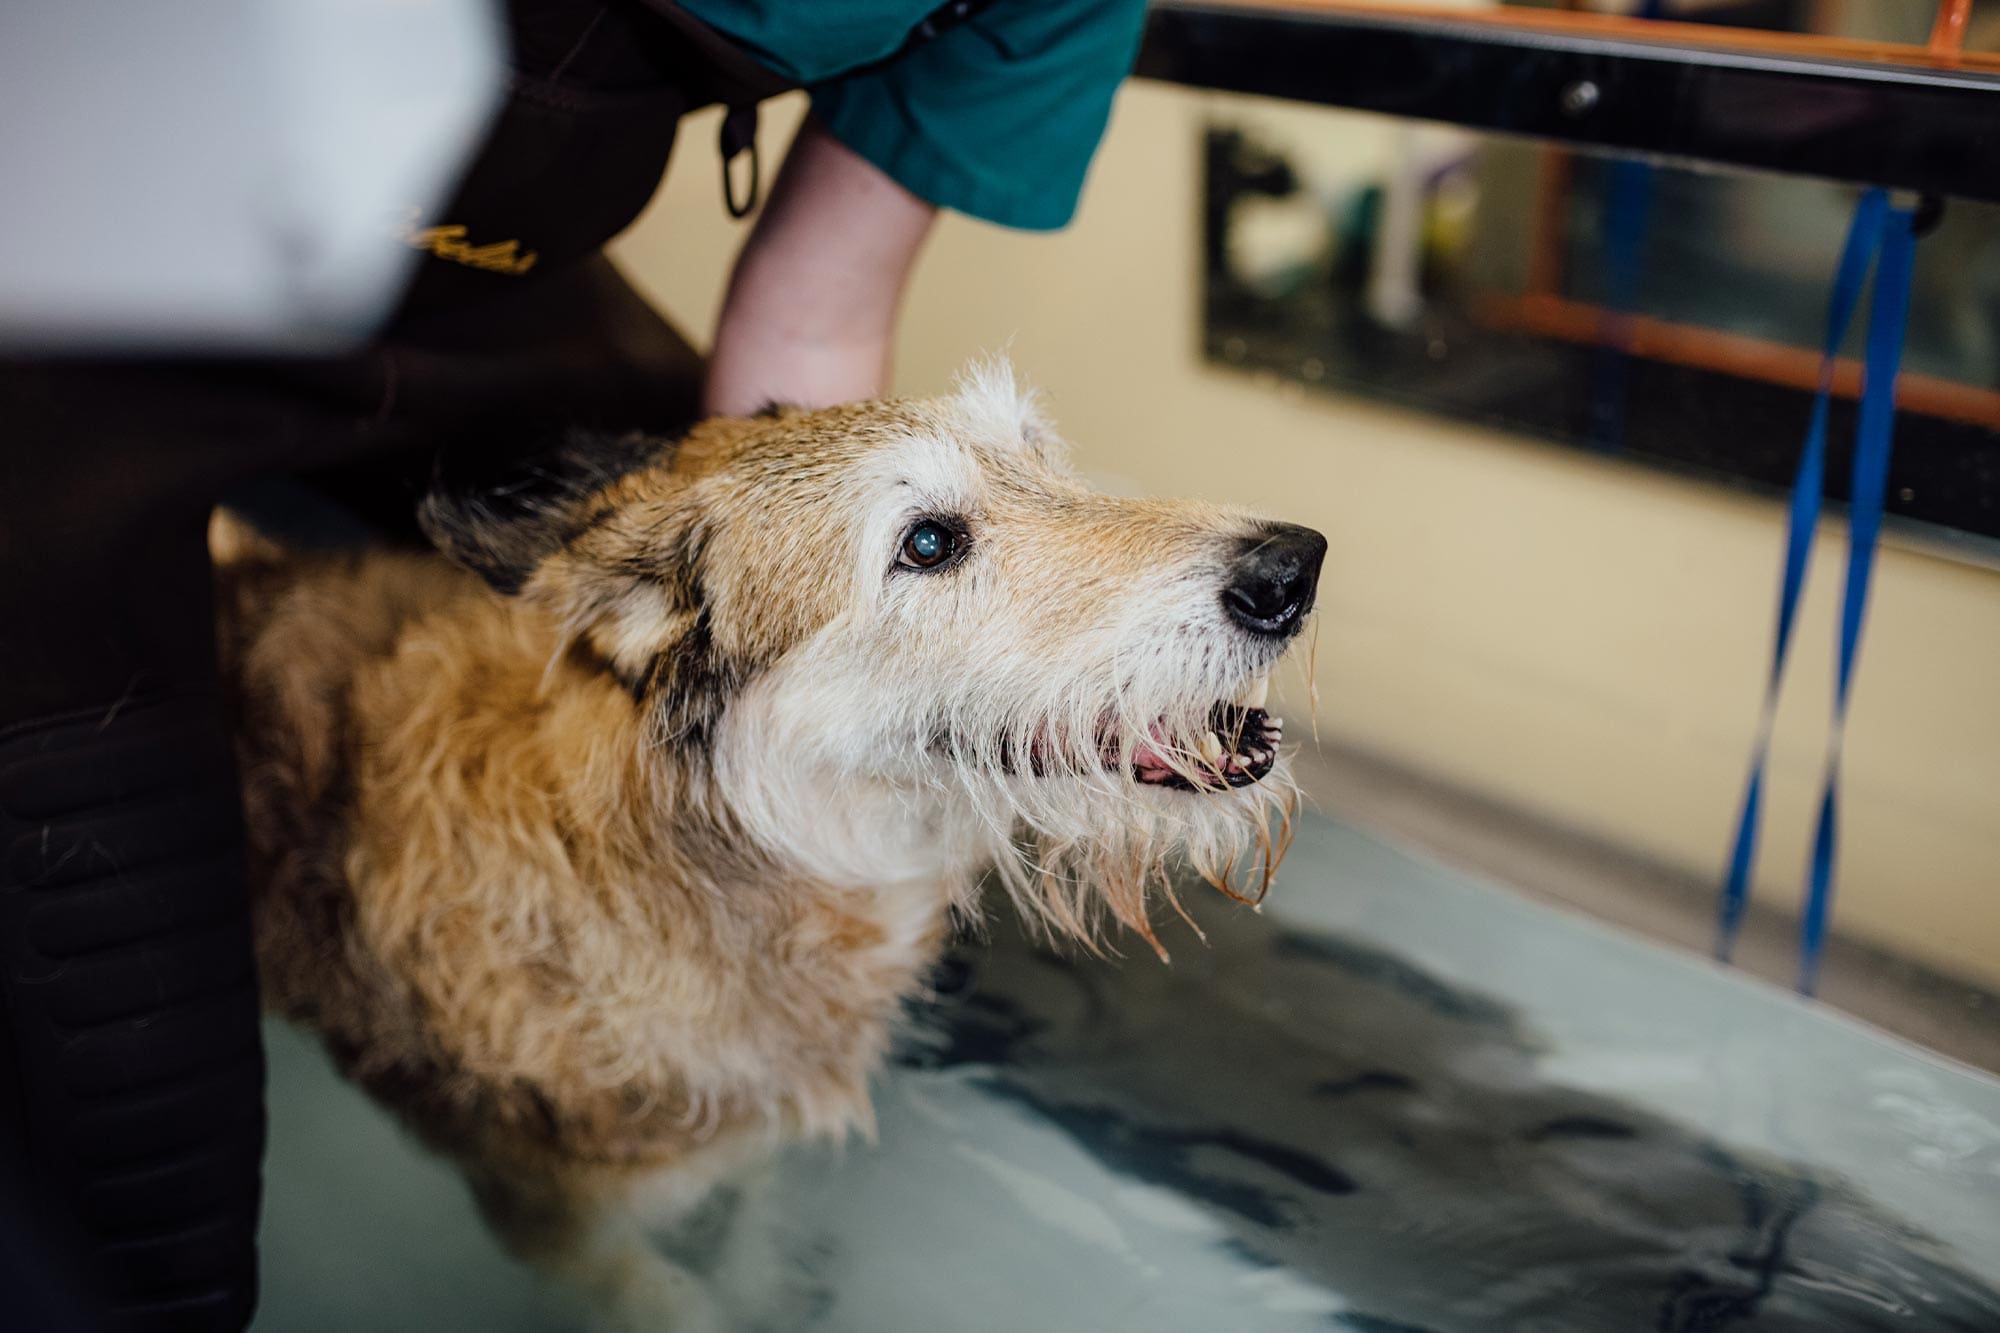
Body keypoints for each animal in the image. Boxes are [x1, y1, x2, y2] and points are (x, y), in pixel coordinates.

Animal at [215, 360, 1328, 1320]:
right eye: (927, 544)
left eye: (1037, 453)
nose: (1293, 567)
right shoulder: (563, 1229)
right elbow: (681, 1299)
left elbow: (750, 1217)